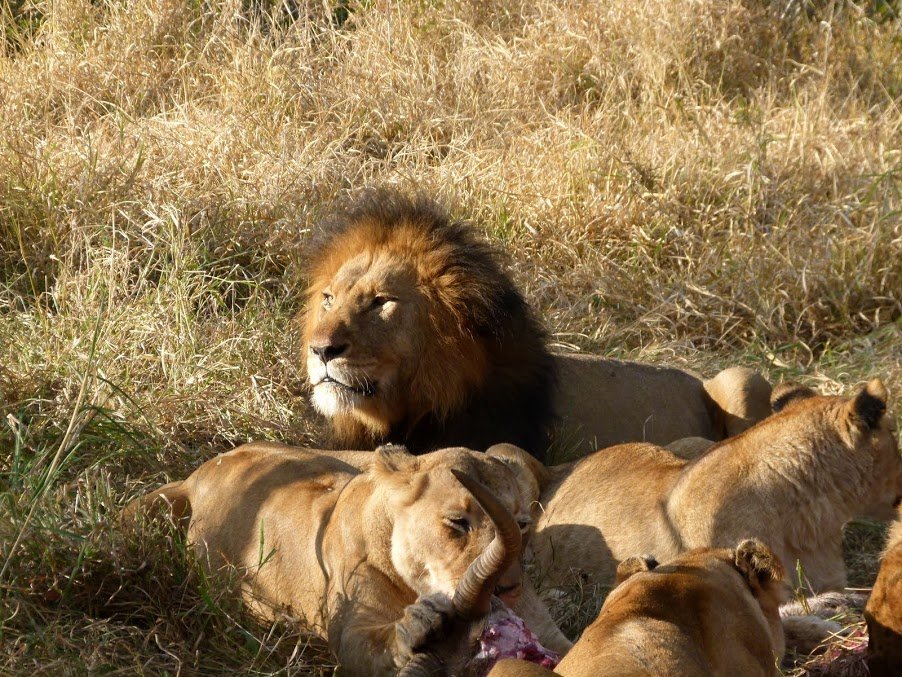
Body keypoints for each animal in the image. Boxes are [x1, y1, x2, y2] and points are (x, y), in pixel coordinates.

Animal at [124, 444, 568, 672]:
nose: (508, 589)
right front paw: (420, 629)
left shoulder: (551, 634)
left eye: (523, 525)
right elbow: (369, 646)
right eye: (458, 522)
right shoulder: (348, 627)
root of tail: (199, 472)